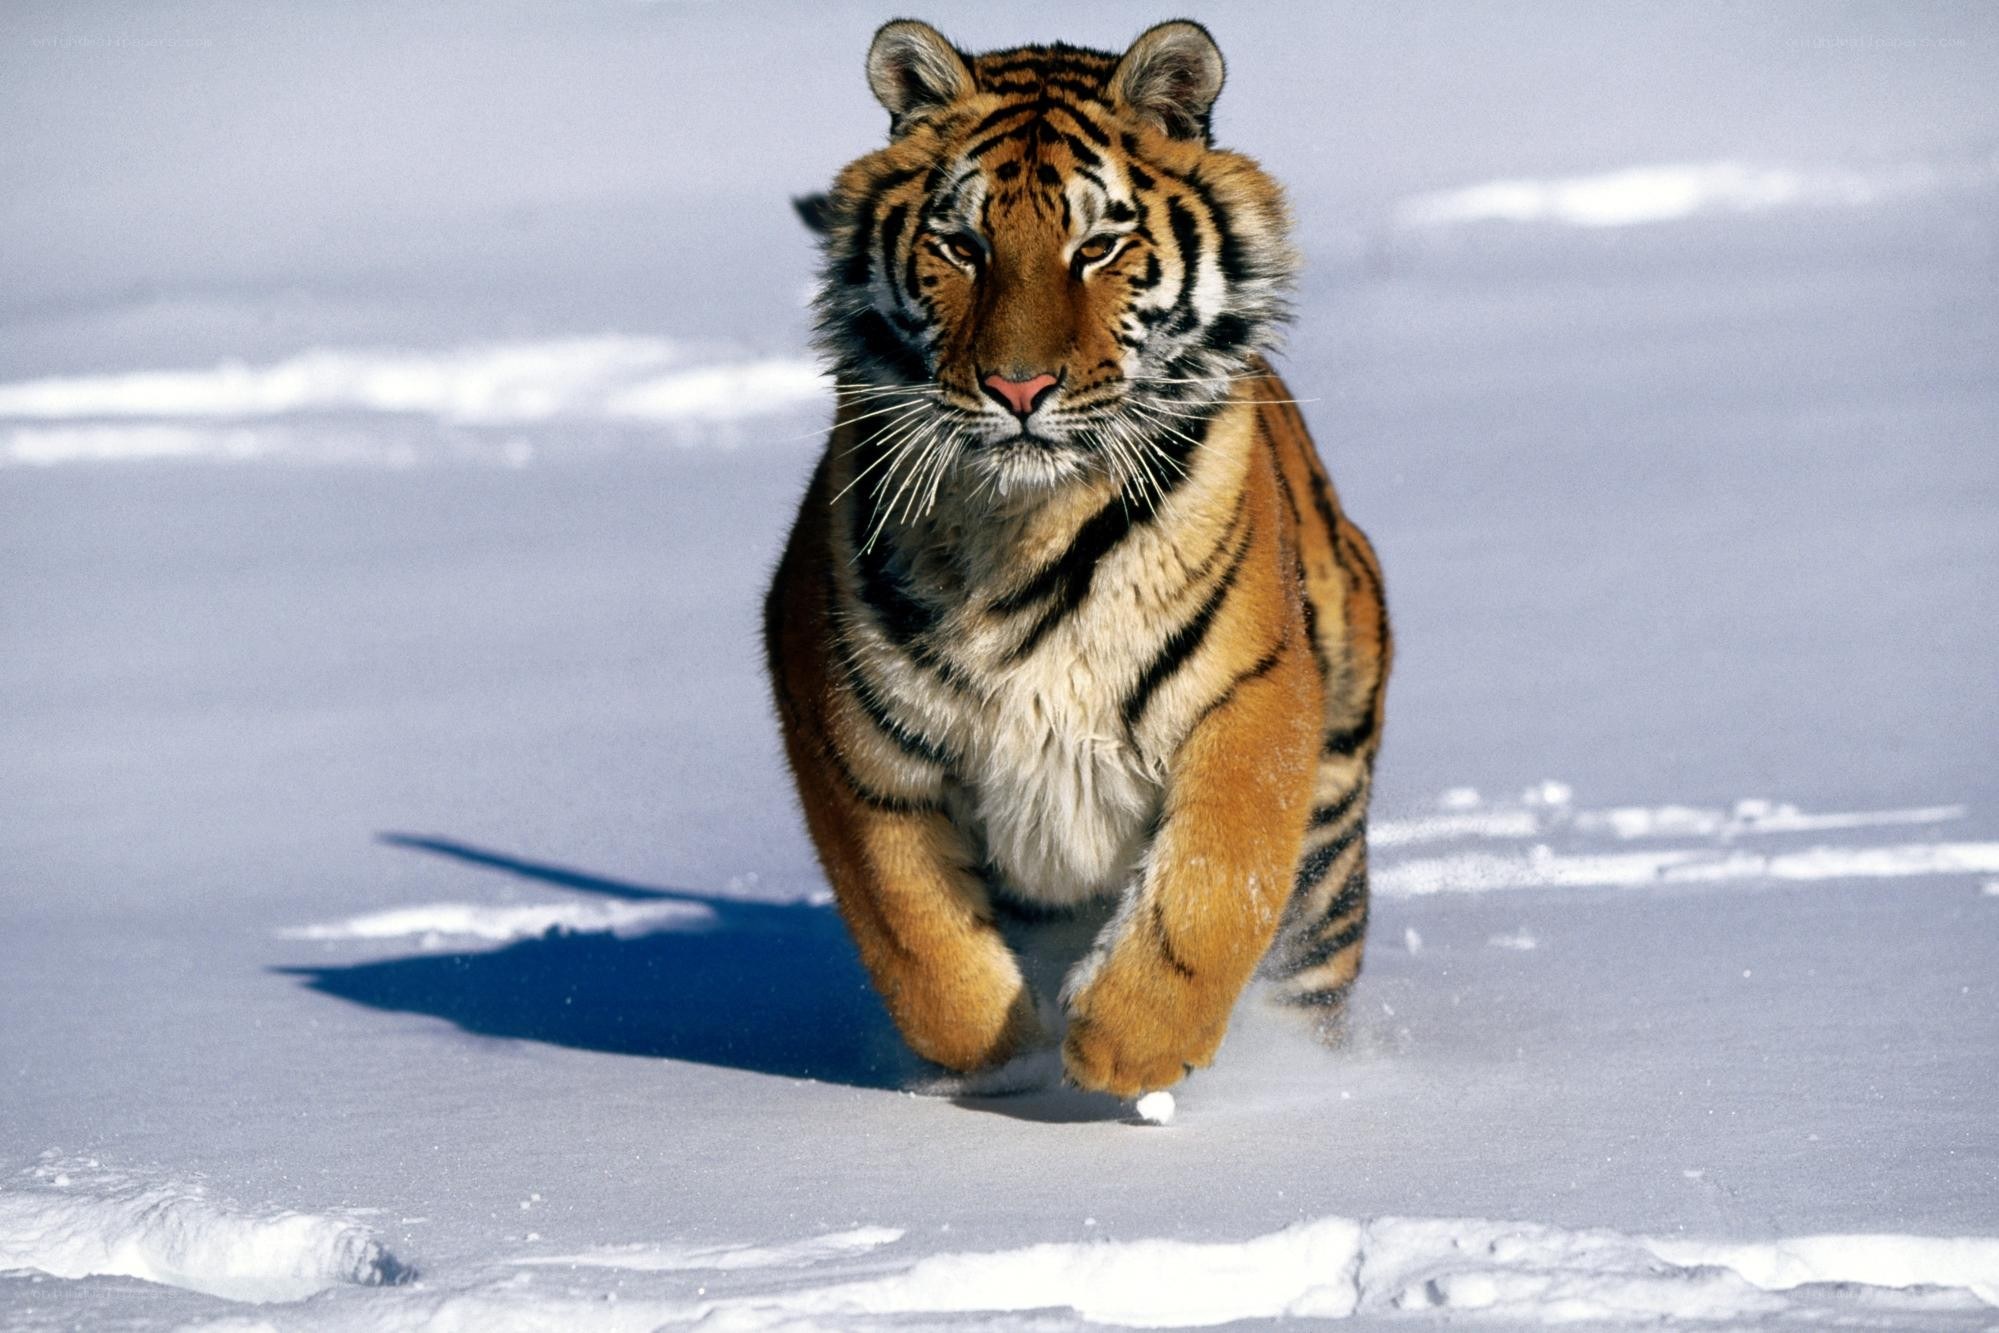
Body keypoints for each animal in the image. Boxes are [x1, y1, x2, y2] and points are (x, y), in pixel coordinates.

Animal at [763, 18, 1389, 1098]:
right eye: (961, 245)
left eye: (1097, 246)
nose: (1019, 388)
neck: (1024, 524)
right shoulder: (846, 729)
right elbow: (913, 930)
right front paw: (1000, 1057)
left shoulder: (1253, 693)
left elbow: (1215, 879)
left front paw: (1125, 1045)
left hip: (1331, 840)